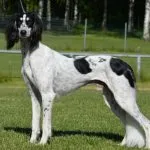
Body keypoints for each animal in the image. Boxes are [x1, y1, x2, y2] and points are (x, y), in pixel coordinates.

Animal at [4, 12, 150, 148]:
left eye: (29, 22)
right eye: (19, 21)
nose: (23, 32)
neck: (32, 53)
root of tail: (125, 64)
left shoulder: (47, 95)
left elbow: (45, 124)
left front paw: (43, 142)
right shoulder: (35, 96)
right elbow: (35, 123)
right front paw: (32, 142)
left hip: (125, 100)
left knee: (146, 123)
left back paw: (146, 146)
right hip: (113, 101)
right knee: (127, 123)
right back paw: (122, 145)